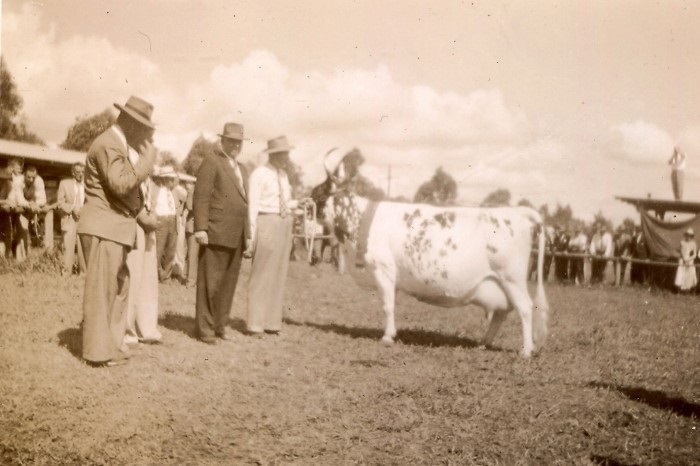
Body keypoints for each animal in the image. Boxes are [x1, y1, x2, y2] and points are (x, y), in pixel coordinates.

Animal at [326, 187, 548, 358]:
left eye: (320, 196)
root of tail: (519, 213)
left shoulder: (383, 268)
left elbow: (387, 306)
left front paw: (387, 337)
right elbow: (391, 304)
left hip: (512, 278)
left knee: (525, 308)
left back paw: (526, 351)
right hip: (499, 284)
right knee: (502, 312)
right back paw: (484, 342)